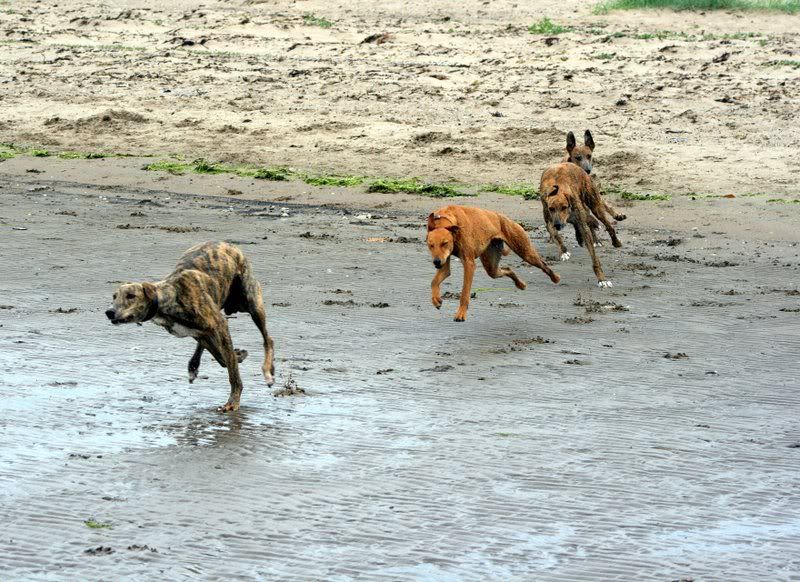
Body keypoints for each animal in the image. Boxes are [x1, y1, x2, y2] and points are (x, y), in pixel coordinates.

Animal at [106, 242, 276, 416]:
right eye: (114, 297)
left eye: (131, 296)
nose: (109, 312)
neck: (170, 296)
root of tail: (229, 245)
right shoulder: (199, 332)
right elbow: (223, 359)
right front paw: (237, 355)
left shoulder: (220, 325)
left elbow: (232, 371)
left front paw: (233, 402)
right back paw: (194, 365)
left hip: (252, 303)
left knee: (268, 339)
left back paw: (268, 371)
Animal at [424, 206, 564, 324]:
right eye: (430, 245)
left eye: (445, 243)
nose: (436, 262)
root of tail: (503, 217)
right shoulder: (444, 263)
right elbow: (434, 282)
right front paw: (436, 299)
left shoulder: (469, 264)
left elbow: (464, 293)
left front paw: (461, 314)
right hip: (491, 266)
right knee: (507, 269)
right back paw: (520, 284)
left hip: (526, 252)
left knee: (543, 264)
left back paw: (555, 277)